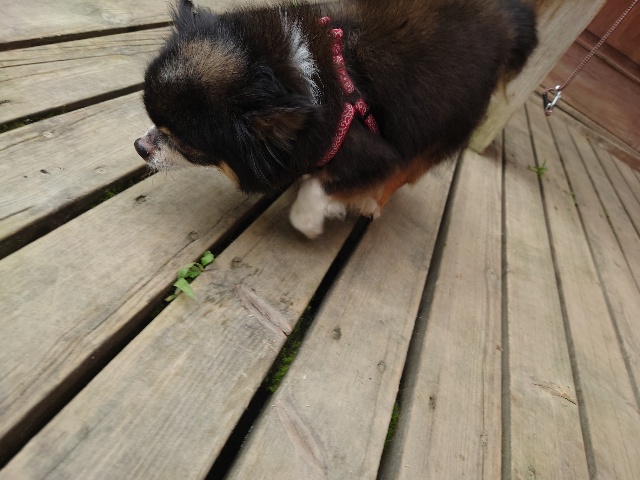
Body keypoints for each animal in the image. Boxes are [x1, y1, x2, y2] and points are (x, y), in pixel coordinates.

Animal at [135, 0, 537, 238]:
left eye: (186, 143)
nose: (139, 146)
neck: (306, 72)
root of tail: (510, 17)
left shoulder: (372, 151)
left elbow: (319, 191)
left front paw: (311, 220)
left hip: (441, 127)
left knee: (408, 168)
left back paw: (372, 203)